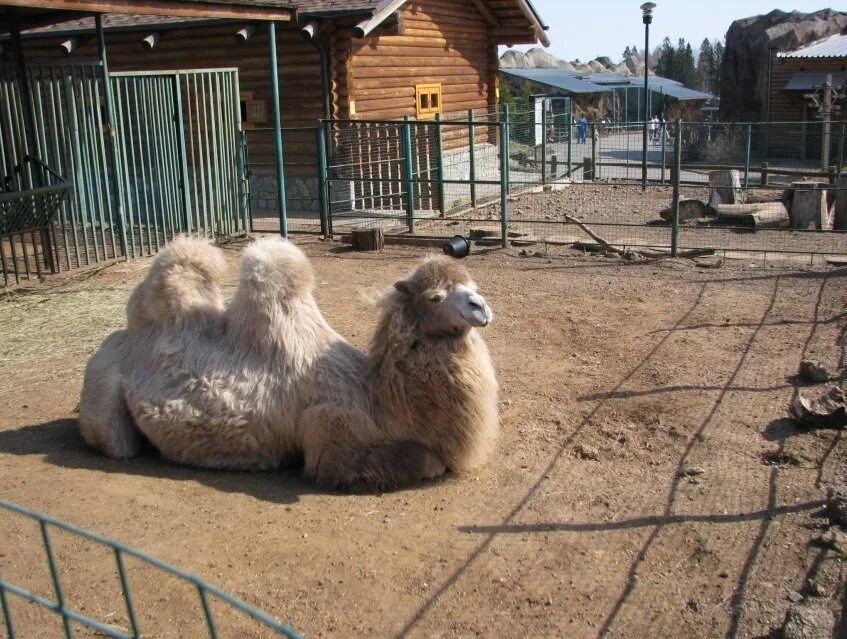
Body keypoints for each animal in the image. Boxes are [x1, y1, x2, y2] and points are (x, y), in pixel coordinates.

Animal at [77, 238, 500, 492]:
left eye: (475, 287)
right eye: (434, 297)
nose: (481, 308)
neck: (381, 401)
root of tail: (119, 338)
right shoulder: (329, 433)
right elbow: (428, 461)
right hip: (103, 388)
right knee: (114, 442)